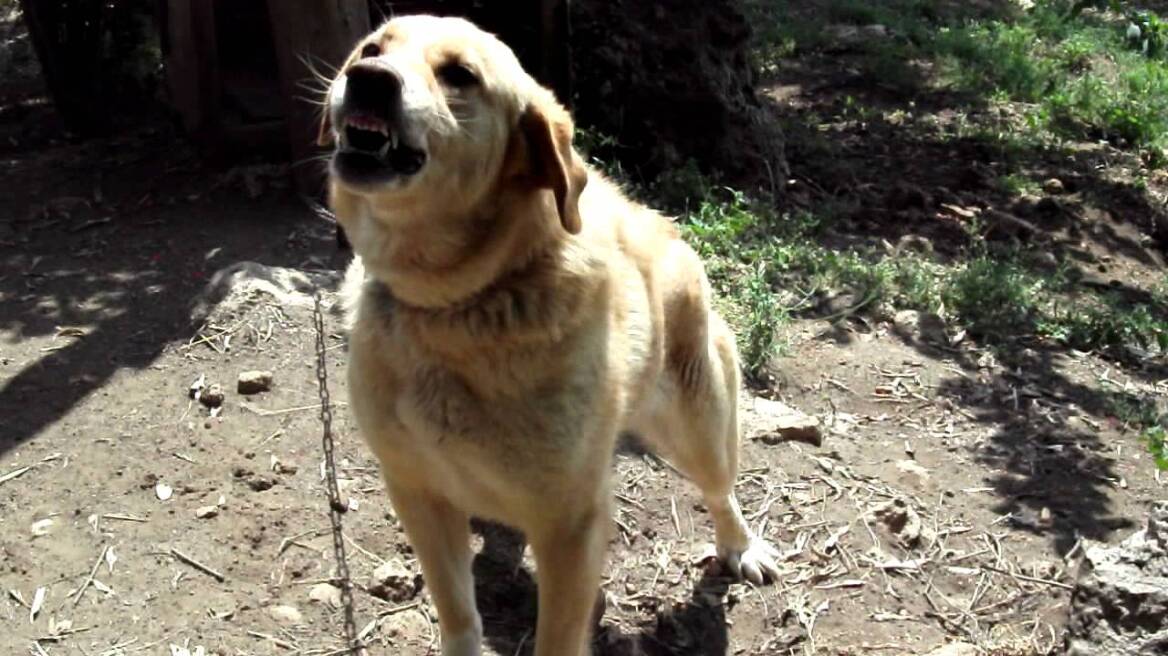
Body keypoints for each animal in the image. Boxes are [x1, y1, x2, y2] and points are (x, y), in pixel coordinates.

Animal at [320, 15, 780, 653]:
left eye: (459, 75)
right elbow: (458, 613)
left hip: (699, 426)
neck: (451, 304)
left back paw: (740, 546)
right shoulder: (418, 491)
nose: (368, 79)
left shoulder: (569, 524)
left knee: (721, 490)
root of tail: (653, 219)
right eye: (371, 48)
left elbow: (558, 635)